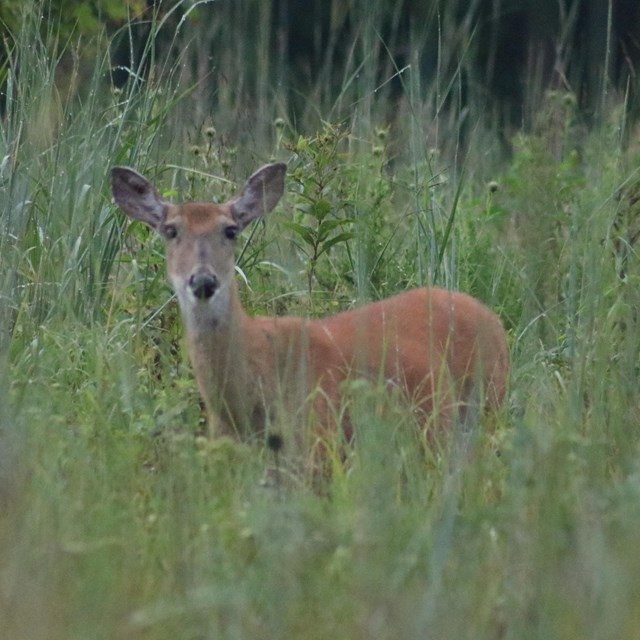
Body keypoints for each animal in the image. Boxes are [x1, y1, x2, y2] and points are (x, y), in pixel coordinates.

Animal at [111, 162, 510, 456]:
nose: (204, 281)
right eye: (170, 230)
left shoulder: (317, 444)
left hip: (487, 405)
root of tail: (492, 317)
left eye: (230, 230)